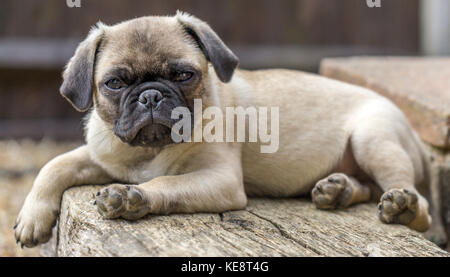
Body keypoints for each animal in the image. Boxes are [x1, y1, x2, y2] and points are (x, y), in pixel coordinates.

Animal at [15, 11, 434, 247]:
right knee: (366, 187)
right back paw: (338, 190)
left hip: (372, 138)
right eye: (114, 84)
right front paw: (32, 217)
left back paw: (401, 205)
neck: (148, 152)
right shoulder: (101, 155)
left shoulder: (219, 179)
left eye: (184, 75)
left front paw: (133, 197)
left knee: (418, 207)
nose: (150, 95)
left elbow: (166, 183)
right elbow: (54, 165)